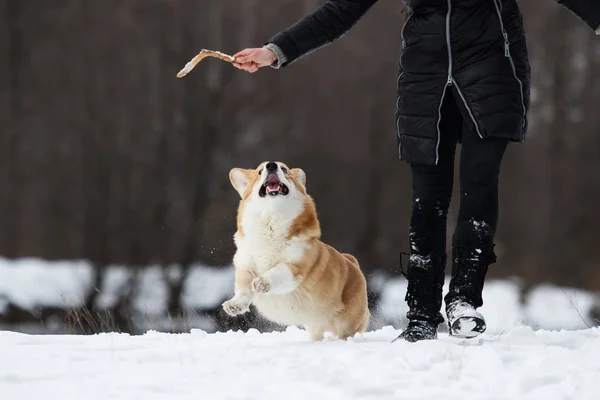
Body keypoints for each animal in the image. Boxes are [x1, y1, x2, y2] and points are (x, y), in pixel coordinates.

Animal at [221, 161, 368, 340]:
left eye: (284, 169)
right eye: (260, 171)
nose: (271, 165)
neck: (271, 219)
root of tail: (352, 262)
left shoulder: (296, 266)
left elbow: (277, 271)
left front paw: (262, 282)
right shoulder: (245, 267)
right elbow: (243, 289)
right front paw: (234, 305)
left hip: (347, 322)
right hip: (315, 326)